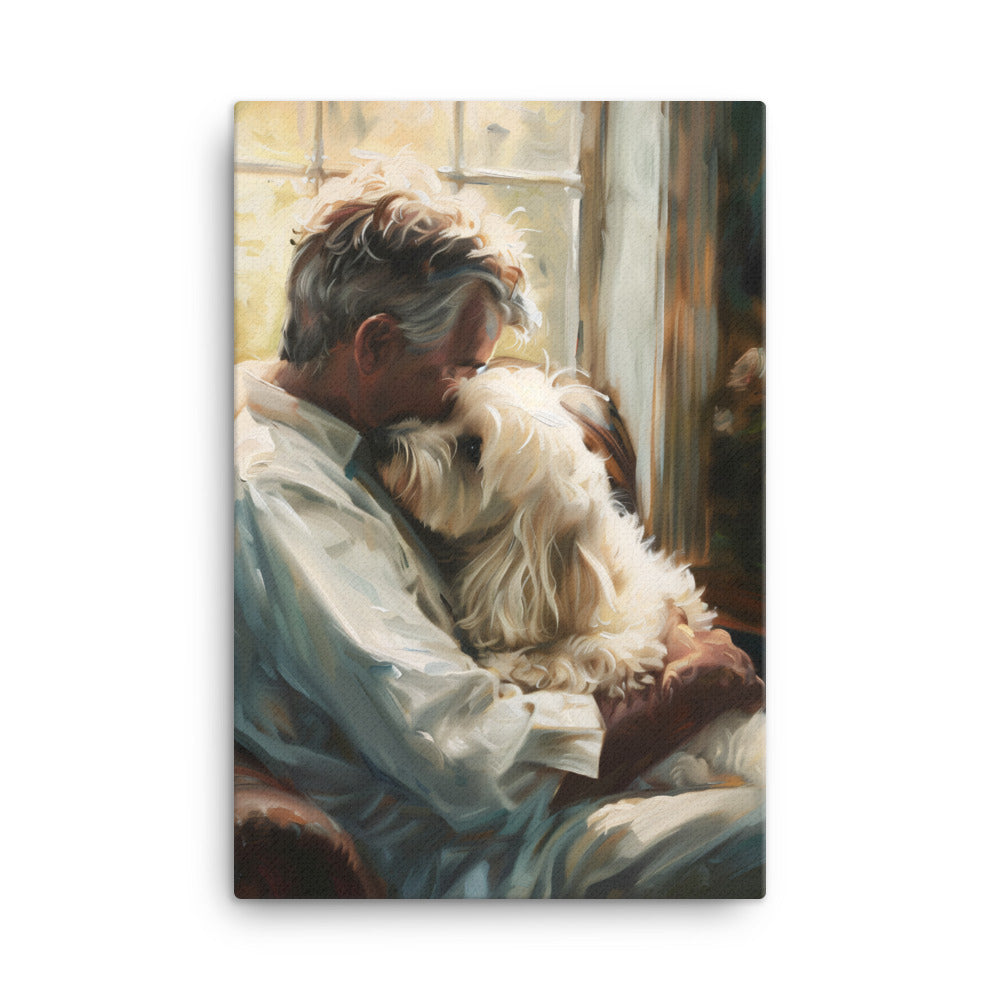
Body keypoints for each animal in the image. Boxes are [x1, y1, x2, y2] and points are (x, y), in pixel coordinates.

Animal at [372, 364, 716, 700]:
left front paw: (517, 664)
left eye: (473, 449)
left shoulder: (631, 637)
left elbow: (587, 653)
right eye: (449, 411)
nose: (384, 440)